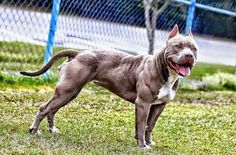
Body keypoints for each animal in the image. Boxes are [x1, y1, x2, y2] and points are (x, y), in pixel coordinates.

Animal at [19, 25, 197, 149]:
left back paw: (52, 129)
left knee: (52, 110)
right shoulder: (143, 103)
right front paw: (142, 145)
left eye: (194, 49)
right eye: (178, 46)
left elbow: (149, 126)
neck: (164, 70)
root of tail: (78, 53)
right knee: (45, 108)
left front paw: (148, 142)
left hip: (69, 92)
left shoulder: (159, 106)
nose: (189, 56)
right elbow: (141, 125)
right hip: (67, 90)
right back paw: (34, 130)